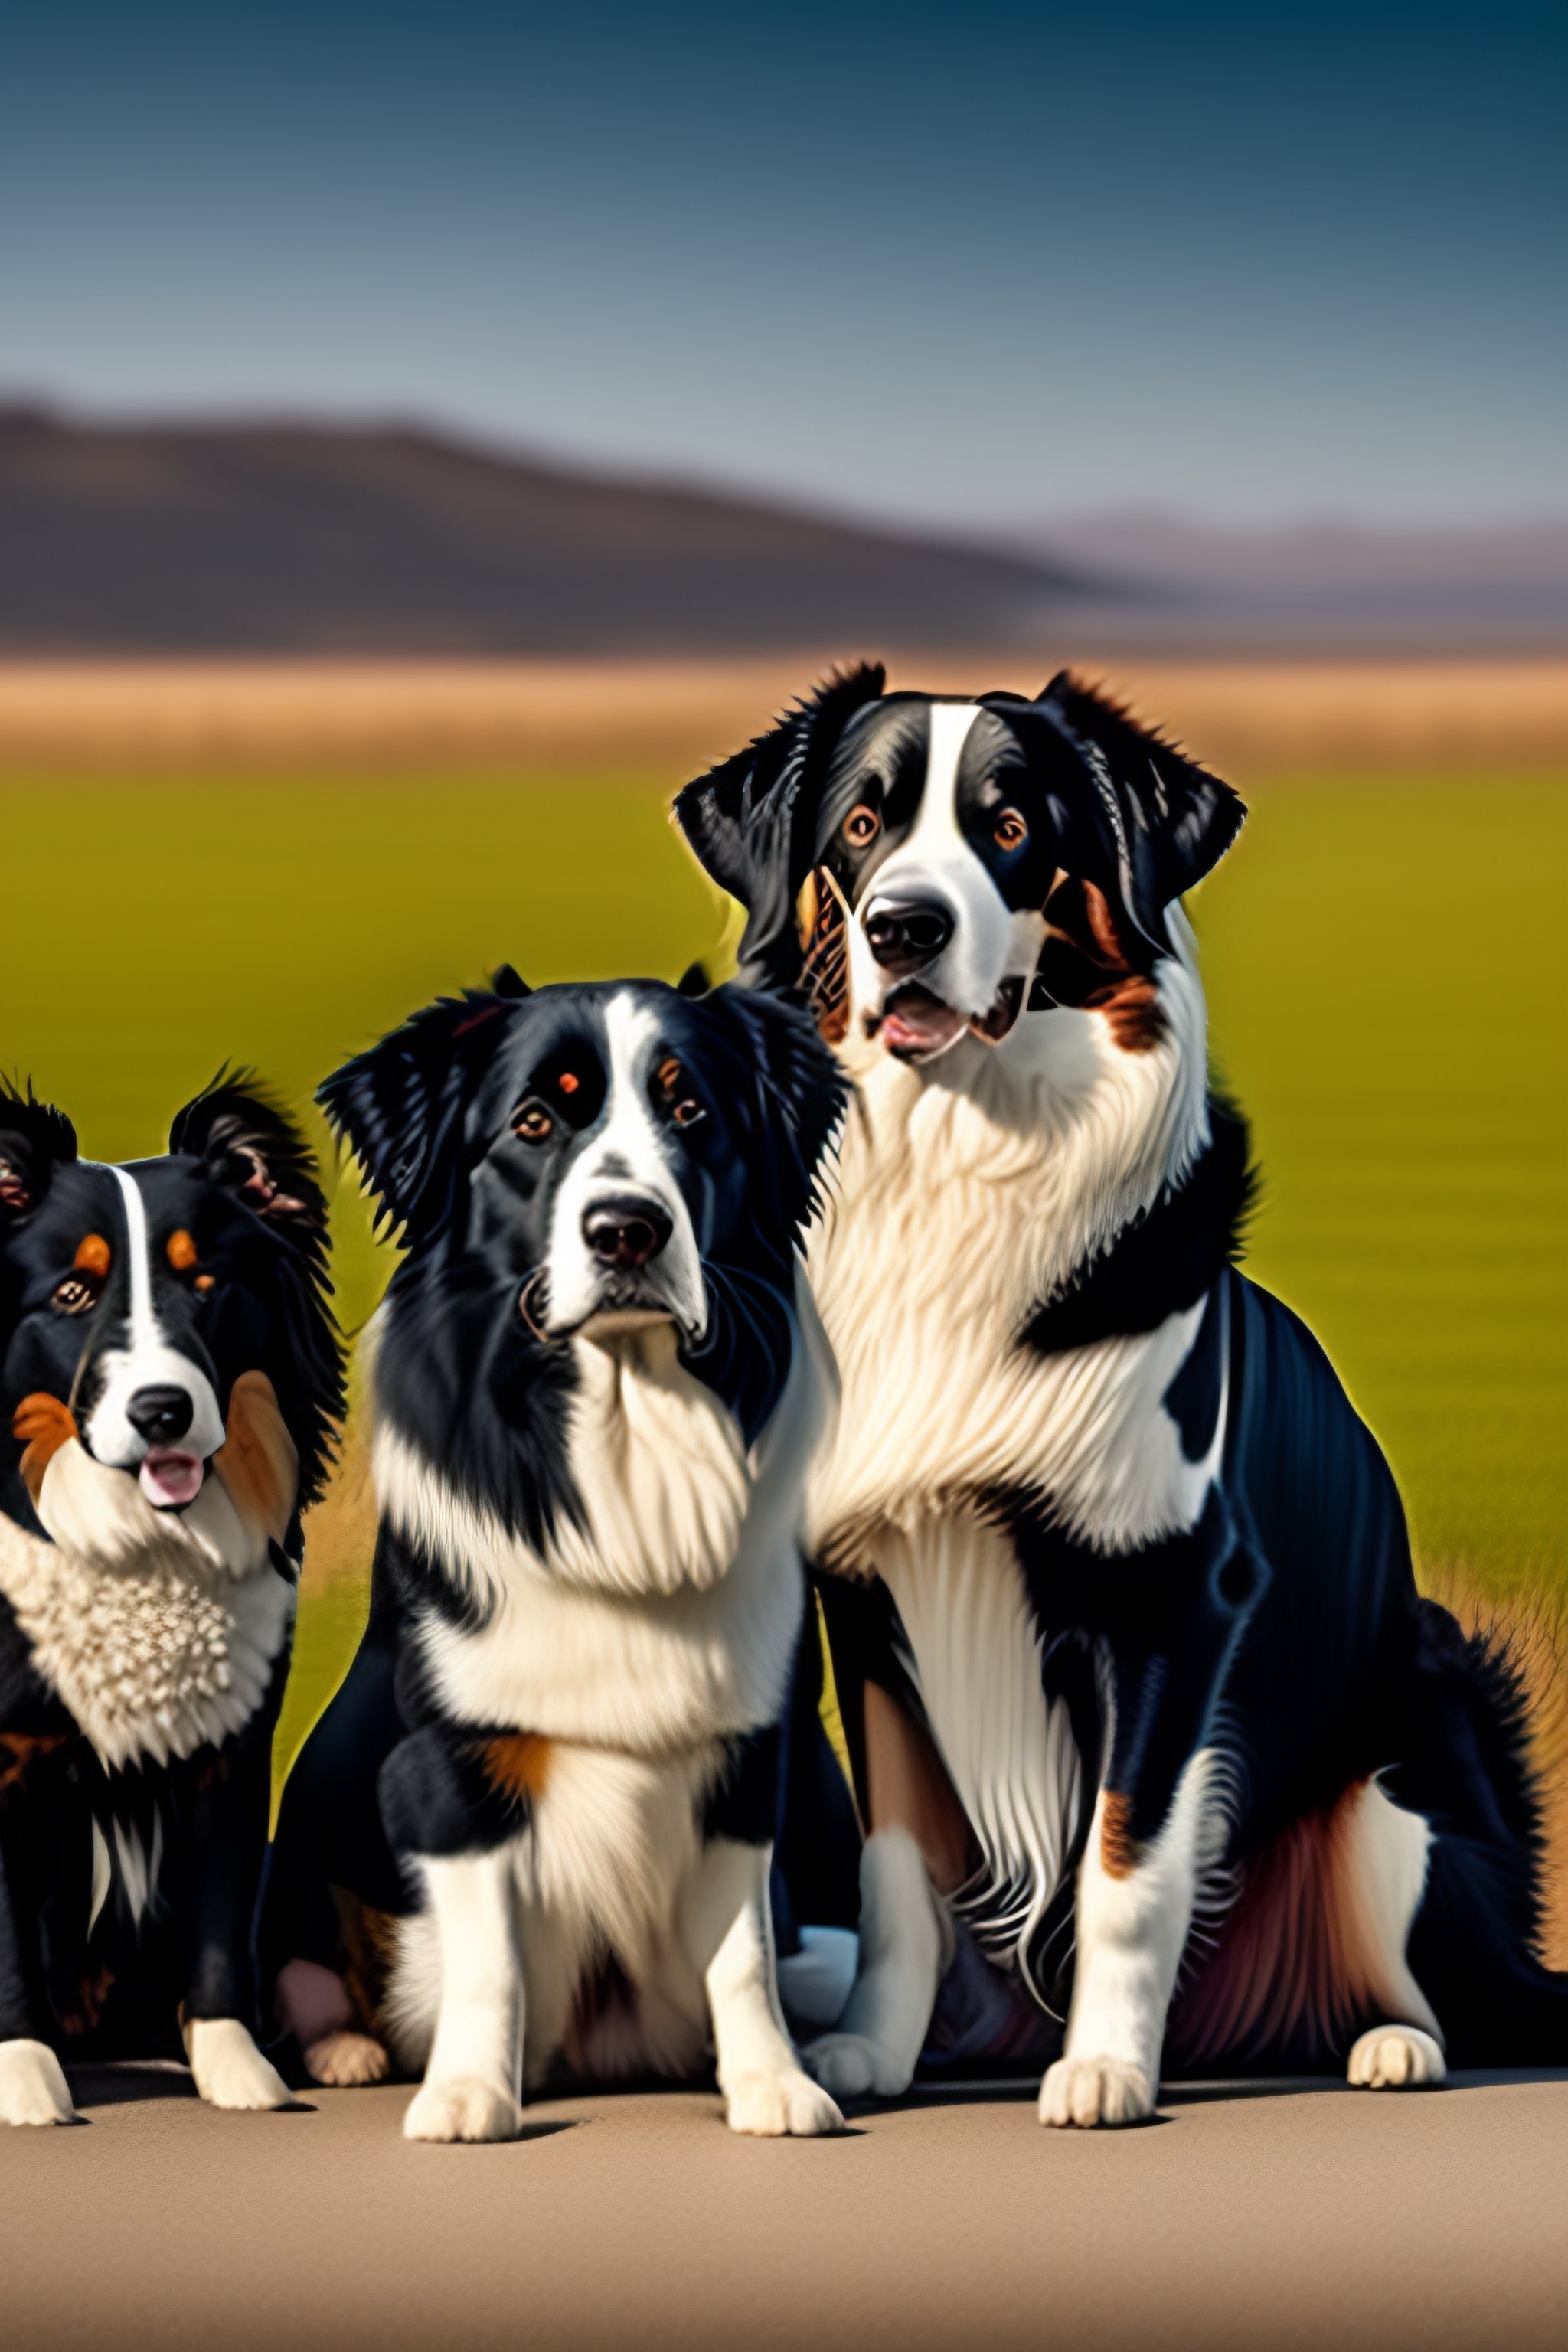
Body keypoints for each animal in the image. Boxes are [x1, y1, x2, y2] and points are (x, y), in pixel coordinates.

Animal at [0, 1082, 341, 2135]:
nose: (163, 1413)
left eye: (206, 1286)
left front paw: (241, 2077)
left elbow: (219, 1930)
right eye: (73, 1295)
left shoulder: (228, 1756)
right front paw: (25, 2084)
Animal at [270, 964, 860, 2145]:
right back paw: (353, 2053)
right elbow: (488, 1959)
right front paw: (468, 2098)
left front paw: (773, 2086)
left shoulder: (750, 1759)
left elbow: (745, 1954)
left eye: (693, 1112)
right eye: (536, 1123)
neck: (627, 1453)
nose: (627, 1230)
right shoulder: (450, 1764)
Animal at [672, 668, 1568, 2135]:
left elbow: (1124, 1864)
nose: (904, 926)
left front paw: (1102, 2070)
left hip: (1405, 1759)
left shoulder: (1175, 1595)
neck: (959, 1159)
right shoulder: (869, 1596)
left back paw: (1385, 2044)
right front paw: (867, 2055)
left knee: (1447, 1979)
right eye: (861, 824)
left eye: (1013, 827)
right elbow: (898, 1867)